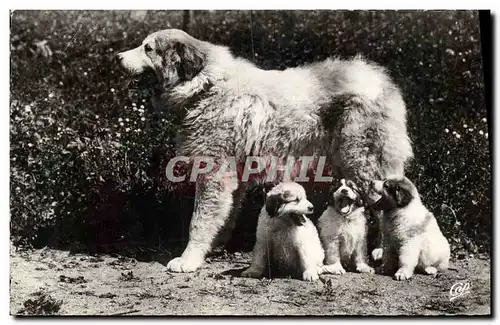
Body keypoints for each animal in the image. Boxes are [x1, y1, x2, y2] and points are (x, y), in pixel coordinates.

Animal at [118, 29, 414, 272]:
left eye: (148, 48)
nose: (117, 57)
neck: (205, 86)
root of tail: (383, 81)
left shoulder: (213, 175)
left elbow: (199, 221)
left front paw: (188, 259)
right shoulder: (233, 177)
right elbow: (223, 216)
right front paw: (212, 248)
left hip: (365, 166)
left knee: (384, 207)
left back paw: (380, 251)